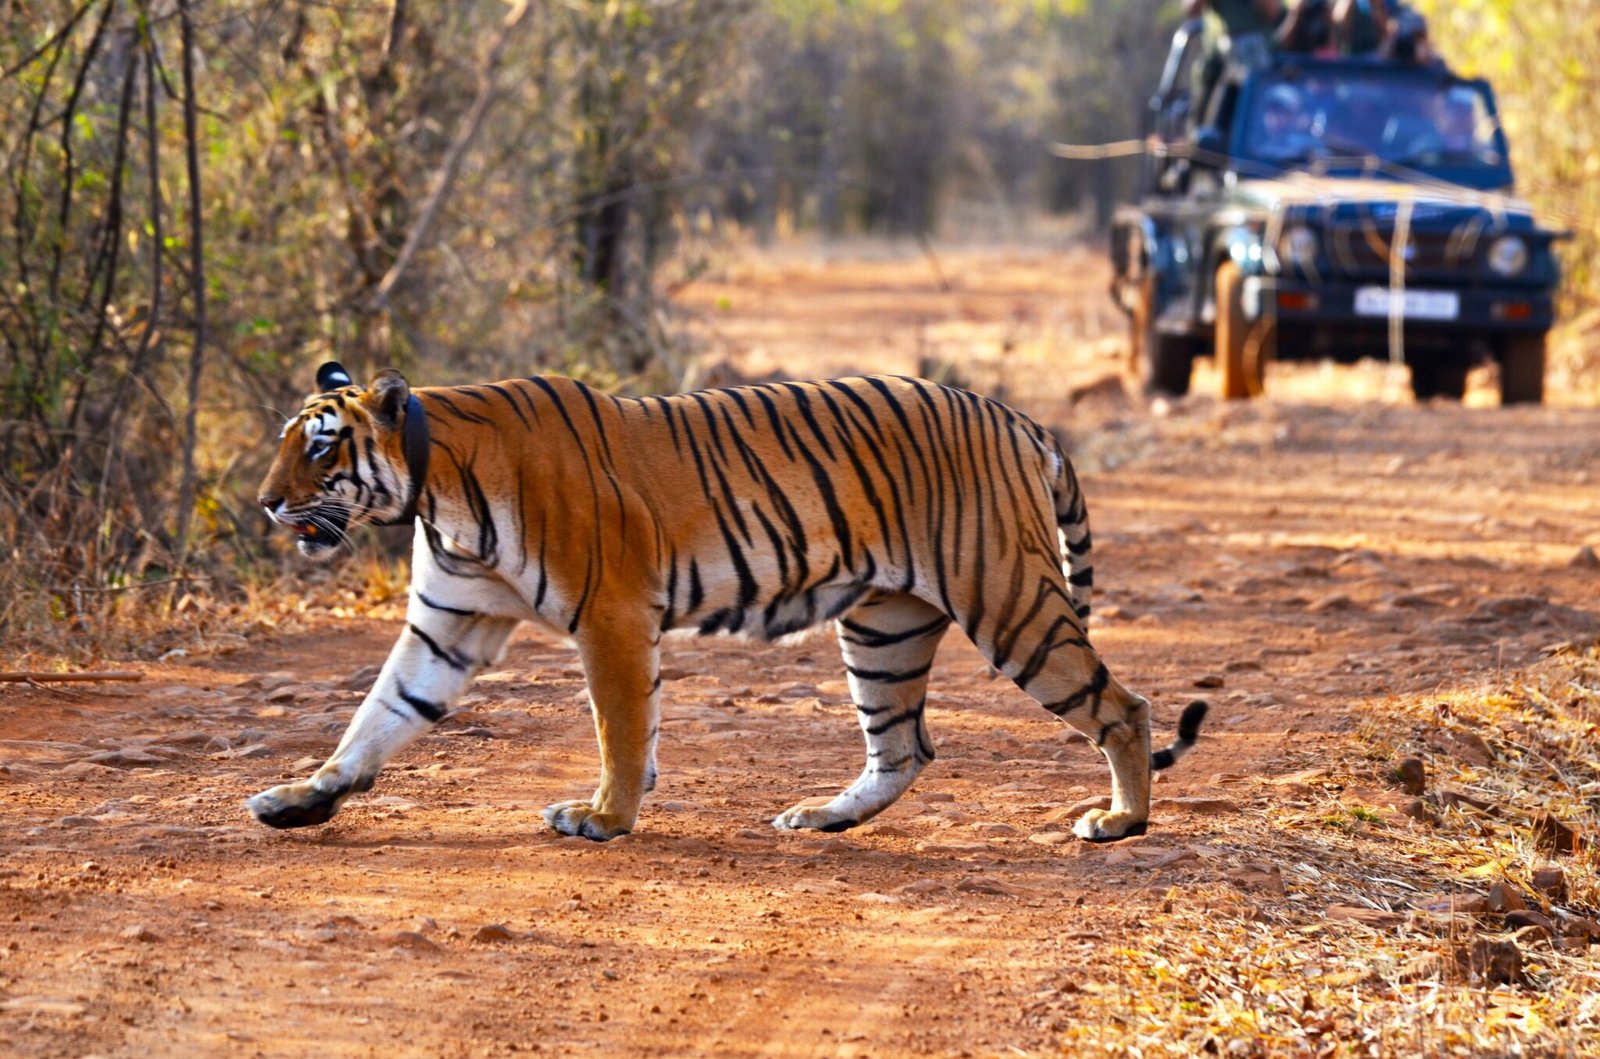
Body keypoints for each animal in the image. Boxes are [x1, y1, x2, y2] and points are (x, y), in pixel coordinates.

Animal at [246, 364, 1203, 844]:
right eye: (289, 442)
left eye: (321, 449)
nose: (263, 501)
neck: (436, 491)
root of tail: (1017, 418)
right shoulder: (448, 625)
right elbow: (376, 716)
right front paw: (302, 795)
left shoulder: (611, 613)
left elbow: (622, 726)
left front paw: (603, 817)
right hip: (883, 623)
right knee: (905, 746)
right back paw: (822, 816)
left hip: (1008, 599)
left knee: (1123, 705)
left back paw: (1121, 820)